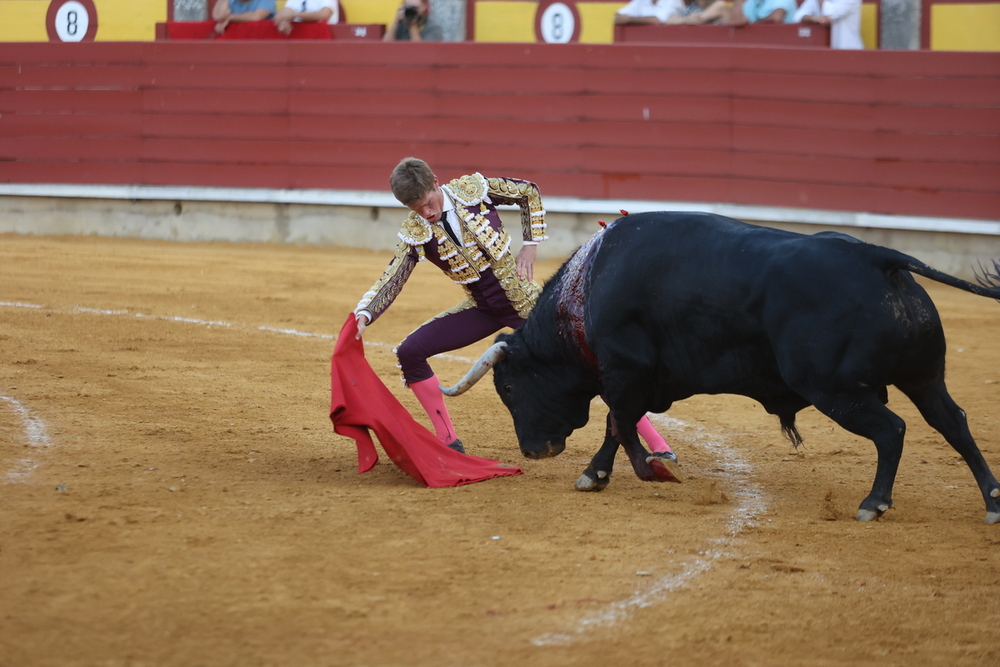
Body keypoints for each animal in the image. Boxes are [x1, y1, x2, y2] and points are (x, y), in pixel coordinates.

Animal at [444, 211, 1000, 524]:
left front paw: (653, 471)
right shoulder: (644, 379)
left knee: (892, 430)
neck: (588, 291)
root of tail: (877, 258)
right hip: (923, 377)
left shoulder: (626, 371)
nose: (534, 451)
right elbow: (616, 424)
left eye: (508, 388)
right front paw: (597, 474)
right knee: (952, 422)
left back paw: (873, 503)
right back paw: (993, 501)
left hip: (836, 389)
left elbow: (619, 423)